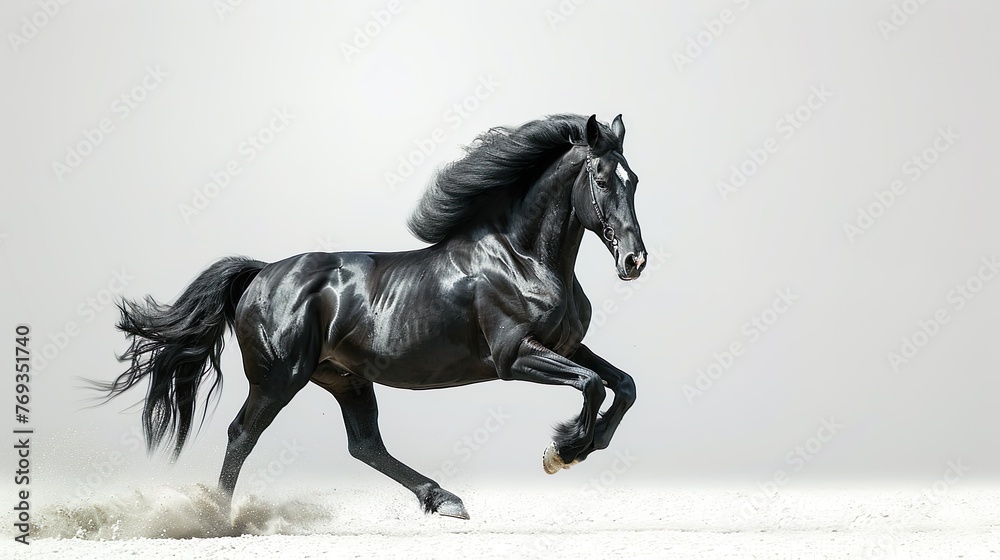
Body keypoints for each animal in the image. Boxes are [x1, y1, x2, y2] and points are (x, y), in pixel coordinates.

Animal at [97, 113, 647, 520]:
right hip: (279, 378)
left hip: (345, 378)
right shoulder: (514, 357)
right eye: (602, 179)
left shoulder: (566, 345)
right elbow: (592, 385)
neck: (522, 256)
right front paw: (562, 452)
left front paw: (587, 444)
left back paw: (444, 500)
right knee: (242, 435)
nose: (634, 261)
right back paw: (215, 518)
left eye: (635, 180)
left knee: (364, 445)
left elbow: (623, 385)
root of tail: (261, 274)